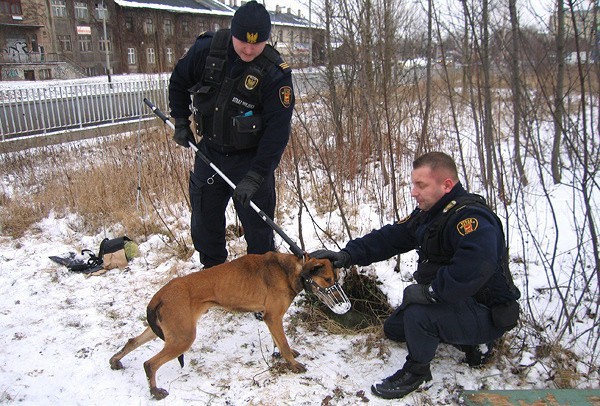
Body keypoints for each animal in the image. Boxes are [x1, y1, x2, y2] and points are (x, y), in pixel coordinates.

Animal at [109, 252, 338, 398]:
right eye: (327, 279)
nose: (340, 303)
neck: (292, 269)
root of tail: (159, 296)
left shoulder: (271, 319)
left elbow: (279, 341)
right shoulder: (273, 317)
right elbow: (283, 343)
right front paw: (292, 363)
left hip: (168, 331)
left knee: (132, 341)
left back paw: (115, 361)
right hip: (183, 338)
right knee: (150, 364)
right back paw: (155, 391)